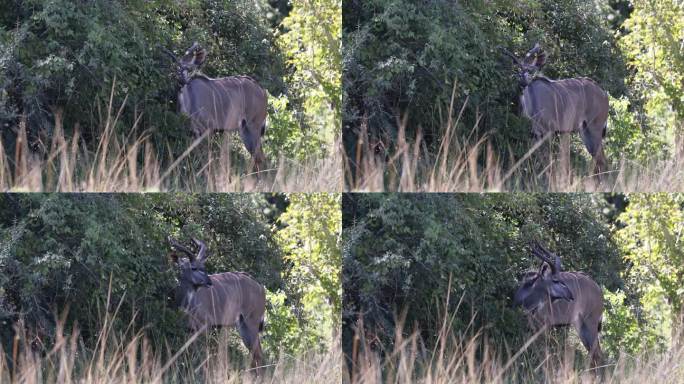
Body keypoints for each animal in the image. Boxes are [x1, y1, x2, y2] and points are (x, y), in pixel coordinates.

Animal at [164, 42, 268, 172]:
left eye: (189, 69)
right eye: (177, 68)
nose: (182, 81)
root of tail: (262, 91)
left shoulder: (207, 130)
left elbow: (207, 159)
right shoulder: (192, 133)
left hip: (254, 126)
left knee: (260, 158)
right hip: (245, 130)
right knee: (257, 157)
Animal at [169, 236, 268, 370]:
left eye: (203, 266)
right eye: (193, 267)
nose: (209, 281)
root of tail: (261, 287)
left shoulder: (205, 326)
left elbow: (203, 355)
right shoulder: (189, 329)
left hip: (251, 322)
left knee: (258, 354)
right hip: (242, 325)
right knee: (255, 354)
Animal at [502, 44, 608, 176]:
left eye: (530, 71)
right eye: (518, 71)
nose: (523, 83)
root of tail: (604, 93)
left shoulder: (549, 132)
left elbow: (548, 162)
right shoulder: (536, 135)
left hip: (595, 128)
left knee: (602, 161)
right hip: (584, 131)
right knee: (598, 159)